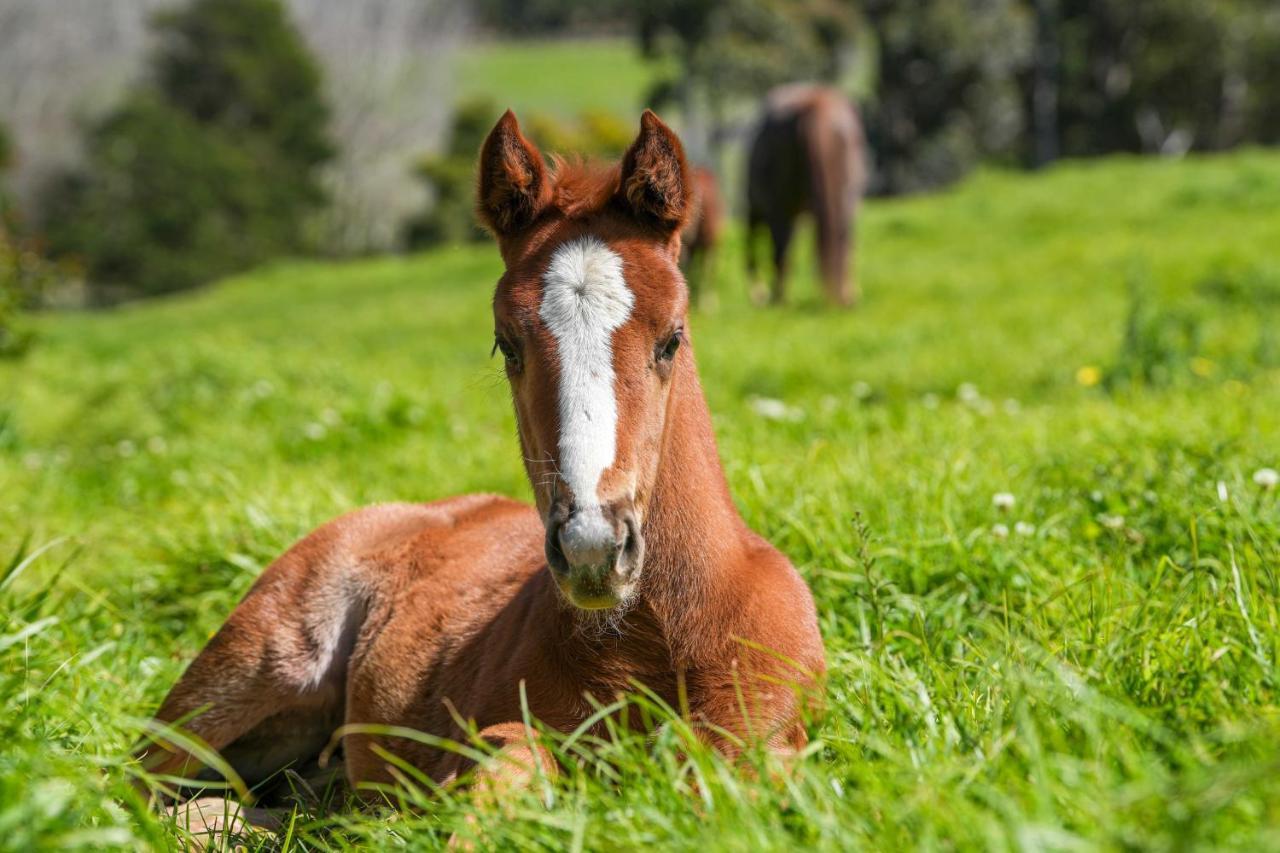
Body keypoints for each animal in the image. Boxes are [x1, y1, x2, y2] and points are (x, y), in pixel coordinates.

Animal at [747, 83, 865, 307]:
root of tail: (815, 102)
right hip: (846, 198)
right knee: (844, 239)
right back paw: (845, 296)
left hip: (778, 204)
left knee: (780, 248)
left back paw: (780, 298)